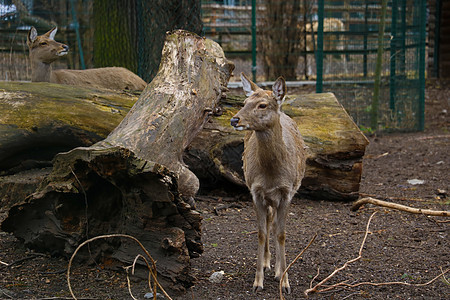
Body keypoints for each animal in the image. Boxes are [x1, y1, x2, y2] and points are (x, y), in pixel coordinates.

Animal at [230, 72, 308, 292]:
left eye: (263, 105)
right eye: (244, 102)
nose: (234, 119)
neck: (272, 175)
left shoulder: (287, 192)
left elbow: (281, 234)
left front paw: (285, 282)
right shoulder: (256, 192)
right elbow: (261, 233)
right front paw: (258, 282)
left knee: (273, 225)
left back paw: (278, 270)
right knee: (268, 222)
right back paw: (267, 263)